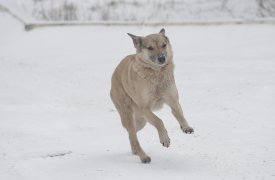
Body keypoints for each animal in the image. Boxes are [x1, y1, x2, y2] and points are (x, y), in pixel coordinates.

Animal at [110, 28, 194, 163]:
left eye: (164, 45)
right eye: (150, 48)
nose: (162, 58)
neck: (157, 73)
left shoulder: (173, 101)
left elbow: (180, 114)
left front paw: (186, 127)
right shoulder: (144, 108)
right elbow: (159, 121)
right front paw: (164, 138)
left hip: (141, 121)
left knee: (132, 134)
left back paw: (135, 151)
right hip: (128, 114)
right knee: (133, 135)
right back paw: (143, 156)